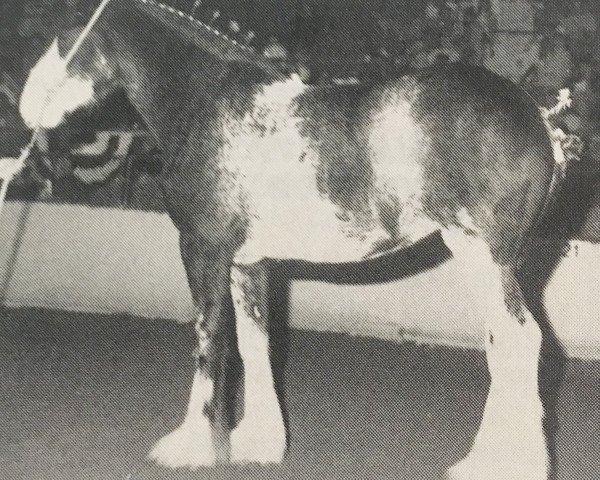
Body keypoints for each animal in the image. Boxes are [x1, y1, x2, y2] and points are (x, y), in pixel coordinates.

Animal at [18, 0, 568, 480]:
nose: (25, 107)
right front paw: (258, 443)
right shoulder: (248, 262)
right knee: (505, 344)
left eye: (66, 40)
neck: (208, 102)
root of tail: (538, 120)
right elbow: (255, 342)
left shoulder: (202, 249)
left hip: (481, 254)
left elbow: (209, 338)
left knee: (519, 340)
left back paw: (501, 465)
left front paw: (190, 447)